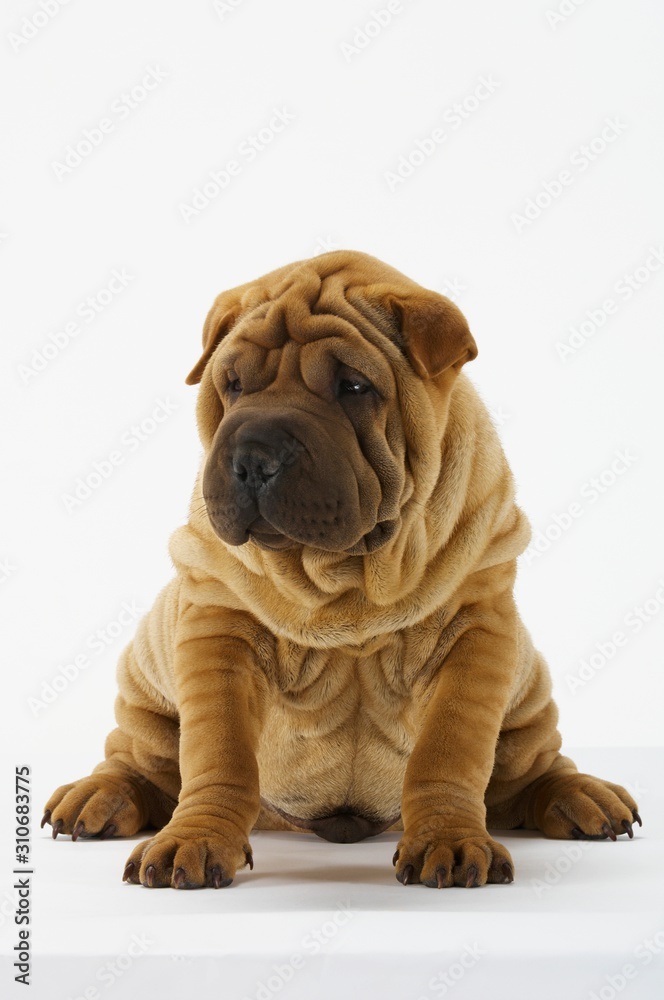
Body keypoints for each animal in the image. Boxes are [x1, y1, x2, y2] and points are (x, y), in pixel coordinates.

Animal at [40, 250, 640, 892]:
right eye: (232, 385)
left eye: (353, 387)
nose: (252, 456)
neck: (345, 577)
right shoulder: (218, 630)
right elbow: (219, 754)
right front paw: (194, 839)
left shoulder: (477, 636)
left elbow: (449, 751)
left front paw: (449, 840)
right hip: (147, 690)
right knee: (139, 759)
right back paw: (98, 795)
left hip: (528, 697)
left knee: (531, 768)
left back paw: (582, 796)